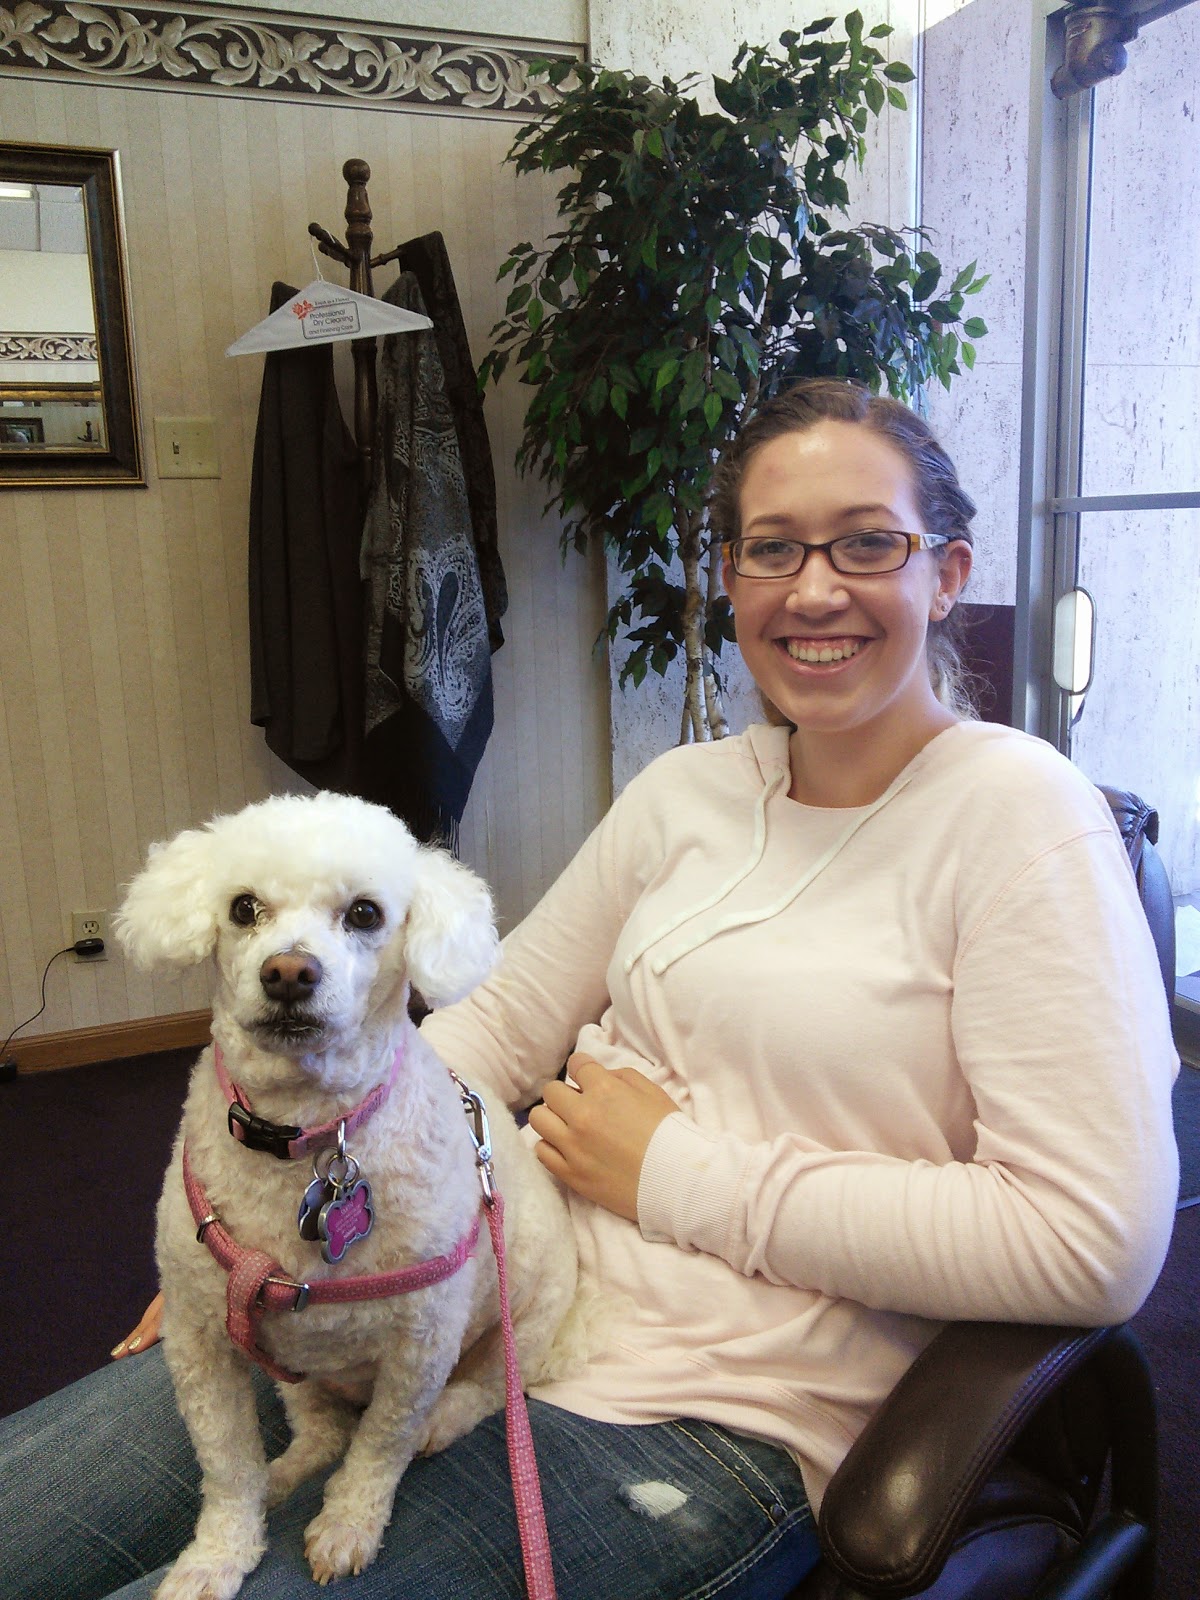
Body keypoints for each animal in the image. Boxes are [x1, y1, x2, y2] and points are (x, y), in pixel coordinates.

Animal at [117, 792, 582, 1600]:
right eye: (243, 908)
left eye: (365, 913)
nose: (288, 972)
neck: (305, 1133)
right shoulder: (201, 1340)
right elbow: (227, 1468)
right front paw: (216, 1557)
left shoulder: (421, 1342)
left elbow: (381, 1448)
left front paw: (348, 1524)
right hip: (297, 1367)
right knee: (321, 1427)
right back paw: (288, 1471)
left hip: (523, 1322)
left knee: (486, 1394)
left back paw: (440, 1423)